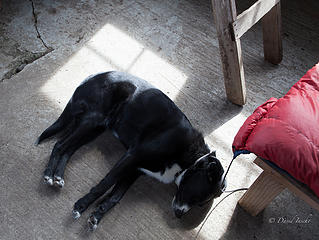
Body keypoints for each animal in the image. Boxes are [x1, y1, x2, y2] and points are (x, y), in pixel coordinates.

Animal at [36, 71, 226, 231]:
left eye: (201, 203)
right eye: (197, 195)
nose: (179, 215)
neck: (189, 158)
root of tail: (90, 78)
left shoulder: (135, 170)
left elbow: (115, 197)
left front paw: (97, 215)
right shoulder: (132, 157)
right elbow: (105, 184)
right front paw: (81, 206)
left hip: (95, 129)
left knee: (68, 150)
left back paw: (58, 176)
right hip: (92, 120)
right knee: (59, 145)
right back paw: (48, 175)